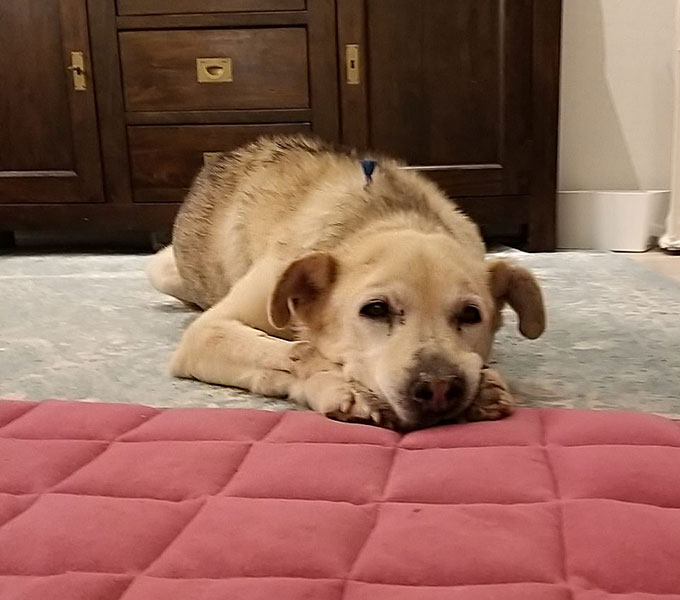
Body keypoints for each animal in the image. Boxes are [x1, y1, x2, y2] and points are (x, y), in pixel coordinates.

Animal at [147, 135, 545, 431]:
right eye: (376, 309)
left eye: (470, 315)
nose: (438, 389)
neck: (386, 217)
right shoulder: (205, 335)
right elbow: (298, 351)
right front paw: (338, 384)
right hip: (162, 270)